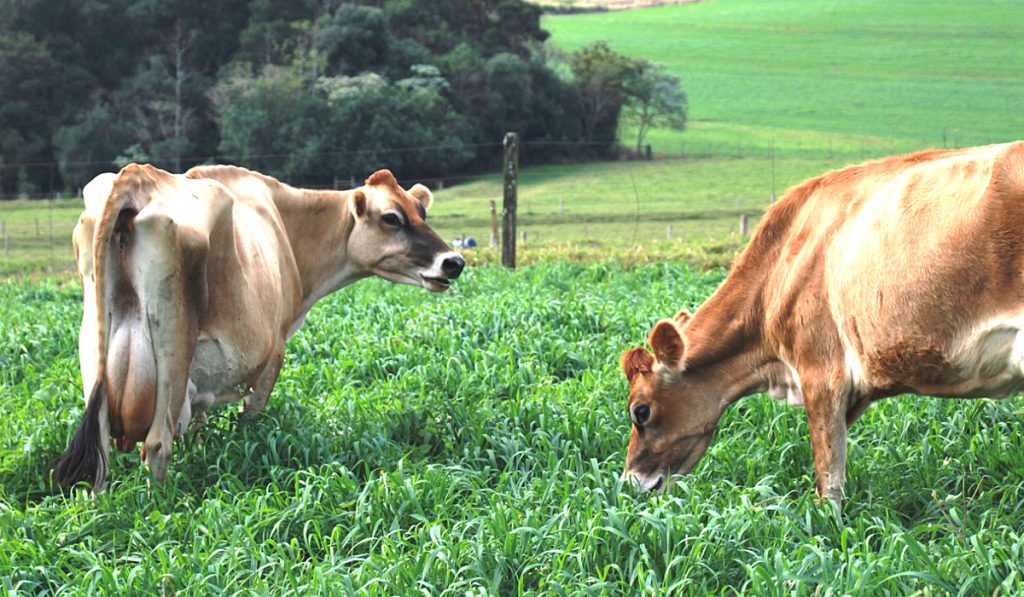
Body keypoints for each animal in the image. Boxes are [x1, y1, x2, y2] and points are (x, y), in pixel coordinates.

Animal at [51, 162, 460, 491]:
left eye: (421, 211)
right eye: (391, 217)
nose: (453, 261)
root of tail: (136, 176)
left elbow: (197, 428)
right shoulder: (274, 350)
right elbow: (248, 420)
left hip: (94, 344)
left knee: (100, 448)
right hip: (173, 347)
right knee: (156, 445)